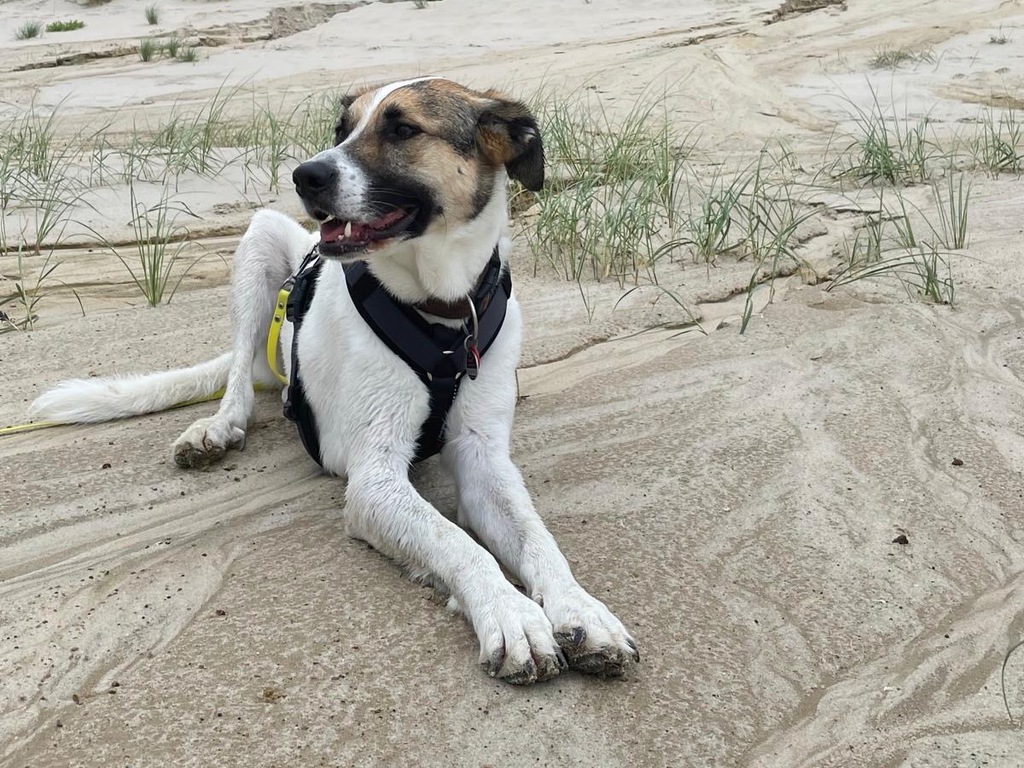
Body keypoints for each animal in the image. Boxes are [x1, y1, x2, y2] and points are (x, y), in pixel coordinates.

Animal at [31, 77, 639, 684]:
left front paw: (580, 609)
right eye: (341, 130)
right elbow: (460, 543)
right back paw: (217, 429)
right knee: (237, 373)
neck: (442, 313)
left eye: (403, 128)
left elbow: (538, 539)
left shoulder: (482, 456)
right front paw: (512, 616)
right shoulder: (374, 478)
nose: (305, 176)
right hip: (259, 240)